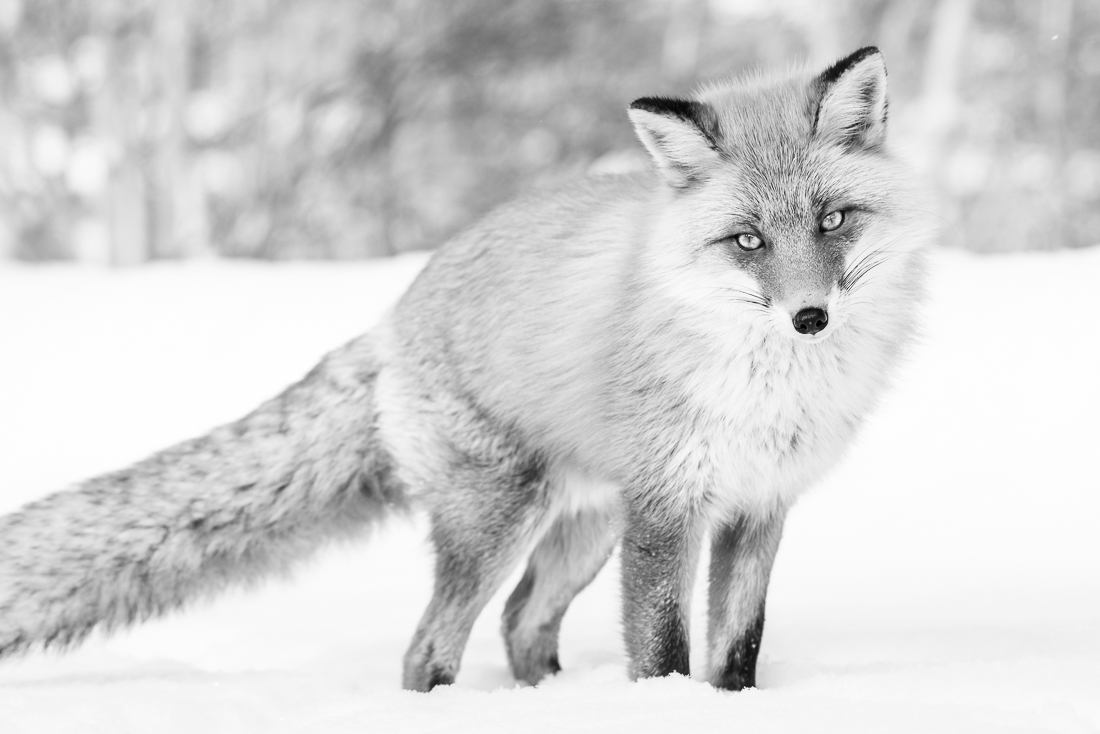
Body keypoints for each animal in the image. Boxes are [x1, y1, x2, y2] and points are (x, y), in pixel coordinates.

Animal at [0, 47, 929, 692]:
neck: (771, 394)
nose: (809, 318)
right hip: (500, 521)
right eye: (747, 241)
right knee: (430, 647)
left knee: (521, 623)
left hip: (585, 526)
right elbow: (662, 649)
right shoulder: (669, 510)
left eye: (833, 220)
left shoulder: (759, 505)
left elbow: (736, 649)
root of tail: (393, 315)